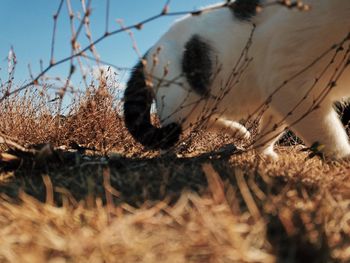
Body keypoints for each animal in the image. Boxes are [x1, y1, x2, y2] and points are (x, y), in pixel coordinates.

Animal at [123, 0, 350, 161]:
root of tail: (152, 48)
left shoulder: (283, 93)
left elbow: (270, 129)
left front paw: (263, 153)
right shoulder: (287, 76)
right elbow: (329, 135)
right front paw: (343, 161)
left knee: (206, 119)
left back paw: (240, 132)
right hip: (180, 105)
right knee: (173, 135)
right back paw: (172, 155)